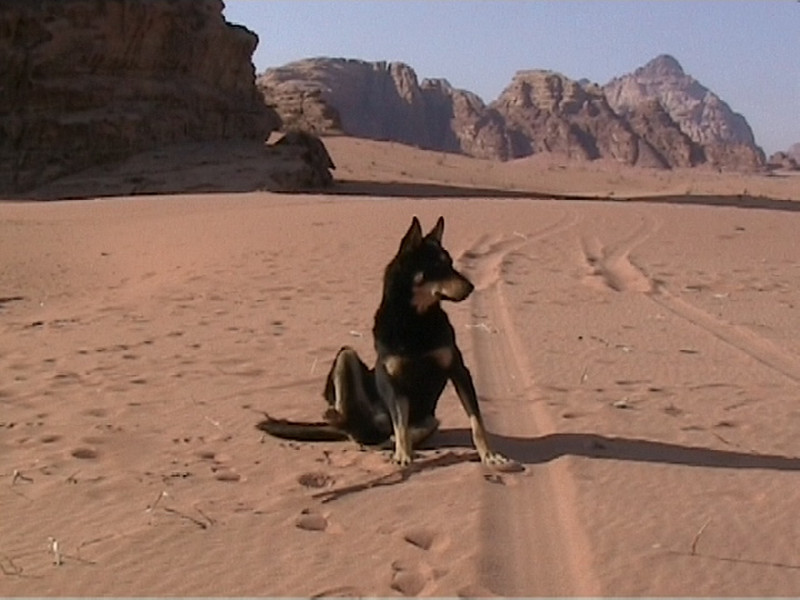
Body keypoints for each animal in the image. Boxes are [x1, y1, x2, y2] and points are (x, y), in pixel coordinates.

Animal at [260, 216, 512, 468]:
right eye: (437, 266)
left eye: (449, 264)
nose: (471, 287)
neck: (415, 319)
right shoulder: (393, 381)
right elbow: (400, 423)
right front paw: (403, 456)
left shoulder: (458, 370)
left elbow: (476, 421)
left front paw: (489, 455)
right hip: (347, 356)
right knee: (353, 423)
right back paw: (340, 421)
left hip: (429, 420)